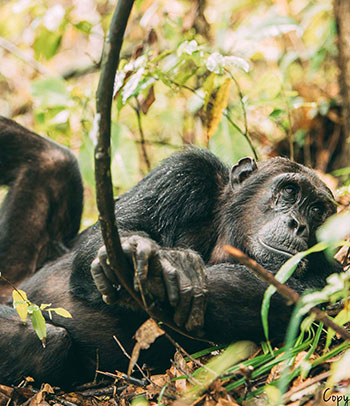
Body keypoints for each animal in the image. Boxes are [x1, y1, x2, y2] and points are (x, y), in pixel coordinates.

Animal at [0, 116, 342, 386]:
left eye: (316, 210)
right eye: (289, 191)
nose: (299, 224)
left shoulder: (328, 280)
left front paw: (169, 271)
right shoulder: (185, 174)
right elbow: (111, 229)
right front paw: (140, 254)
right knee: (54, 159)